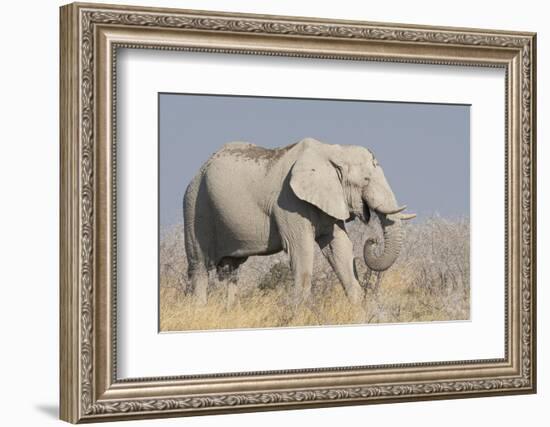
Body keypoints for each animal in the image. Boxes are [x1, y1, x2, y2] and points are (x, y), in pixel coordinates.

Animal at [183, 137, 416, 304]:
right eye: (366, 180)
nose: (373, 241)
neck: (332, 151)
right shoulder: (289, 200)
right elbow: (300, 249)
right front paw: (299, 313)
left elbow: (339, 247)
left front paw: (358, 308)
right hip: (195, 205)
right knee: (199, 267)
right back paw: (200, 311)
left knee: (231, 271)